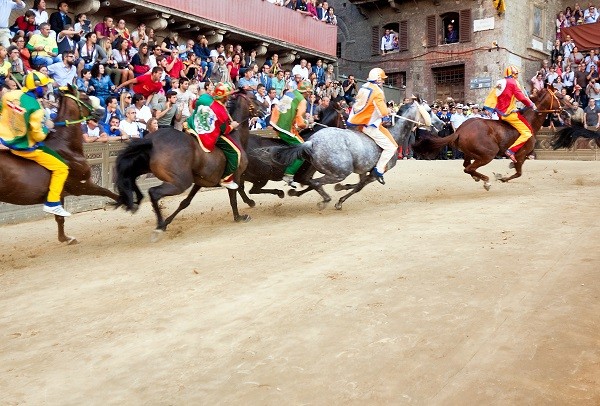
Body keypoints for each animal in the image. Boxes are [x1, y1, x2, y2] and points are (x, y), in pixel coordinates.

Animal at [0, 85, 117, 243]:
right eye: (86, 97)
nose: (102, 111)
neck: (65, 147)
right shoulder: (81, 185)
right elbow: (106, 191)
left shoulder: (59, 193)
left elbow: (59, 218)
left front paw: (65, 238)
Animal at [115, 89, 260, 241]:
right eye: (254, 98)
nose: (266, 106)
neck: (235, 136)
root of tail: (152, 141)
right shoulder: (234, 176)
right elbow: (236, 194)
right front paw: (241, 213)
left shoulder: (201, 181)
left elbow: (185, 202)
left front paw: (168, 222)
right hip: (180, 182)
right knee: (153, 192)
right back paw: (158, 225)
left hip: (145, 167)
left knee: (131, 178)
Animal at [264, 100, 442, 209]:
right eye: (429, 111)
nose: (441, 124)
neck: (394, 134)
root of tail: (312, 141)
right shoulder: (375, 173)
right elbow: (359, 187)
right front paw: (340, 201)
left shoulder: (364, 171)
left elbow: (357, 185)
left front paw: (342, 190)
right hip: (340, 172)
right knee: (316, 182)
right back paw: (325, 200)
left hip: (316, 167)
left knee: (308, 180)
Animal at [412, 87, 568, 190]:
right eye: (560, 97)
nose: (567, 111)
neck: (529, 121)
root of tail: (462, 129)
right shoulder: (521, 155)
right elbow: (518, 173)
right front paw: (502, 177)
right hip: (488, 154)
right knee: (468, 168)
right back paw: (486, 181)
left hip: (470, 153)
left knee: (466, 166)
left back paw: (478, 177)